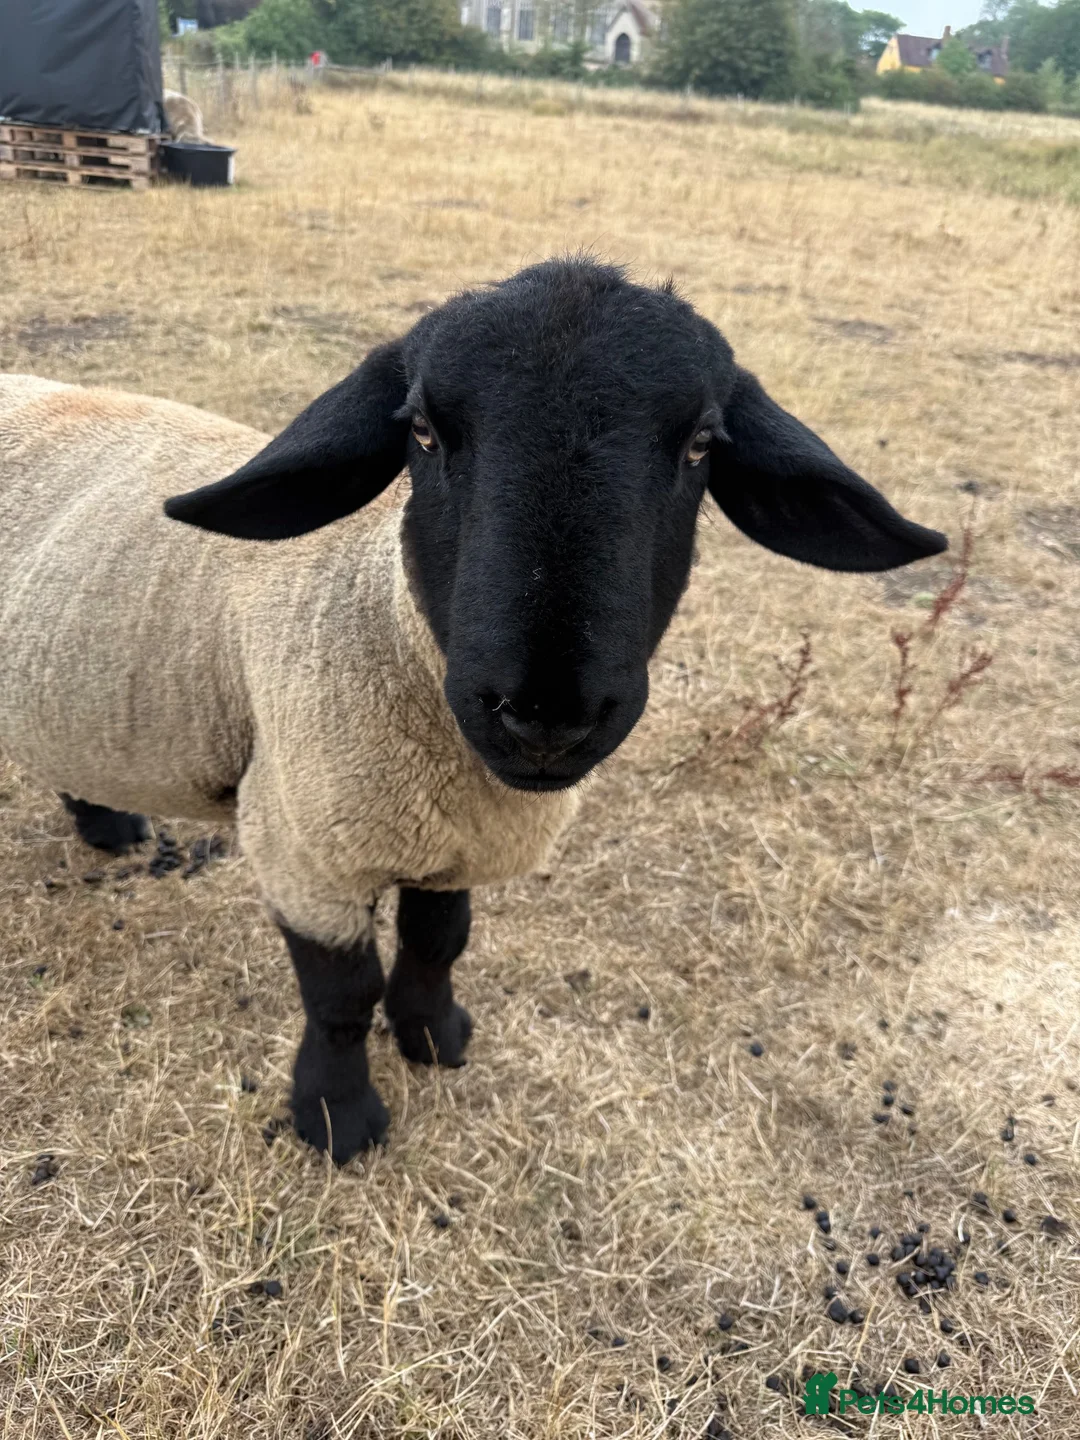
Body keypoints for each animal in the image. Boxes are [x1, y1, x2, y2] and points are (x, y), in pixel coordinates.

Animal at [0, 258, 946, 1163]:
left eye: (701, 445)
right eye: (421, 431)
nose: (546, 712)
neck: (378, 613)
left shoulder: (450, 840)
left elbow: (438, 938)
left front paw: (434, 1037)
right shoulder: (303, 848)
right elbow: (341, 997)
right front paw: (338, 1118)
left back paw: (106, 825)